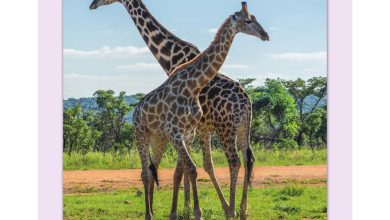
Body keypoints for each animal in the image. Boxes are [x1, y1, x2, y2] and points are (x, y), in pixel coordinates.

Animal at [89, 0, 270, 218]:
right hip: (243, 128)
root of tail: (246, 101)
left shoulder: (193, 130)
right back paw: (242, 210)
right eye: (251, 19)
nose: (92, 5)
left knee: (234, 161)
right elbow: (192, 167)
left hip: (225, 129)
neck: (171, 56)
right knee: (248, 157)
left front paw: (187, 209)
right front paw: (188, 209)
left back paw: (232, 210)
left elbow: (188, 168)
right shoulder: (192, 130)